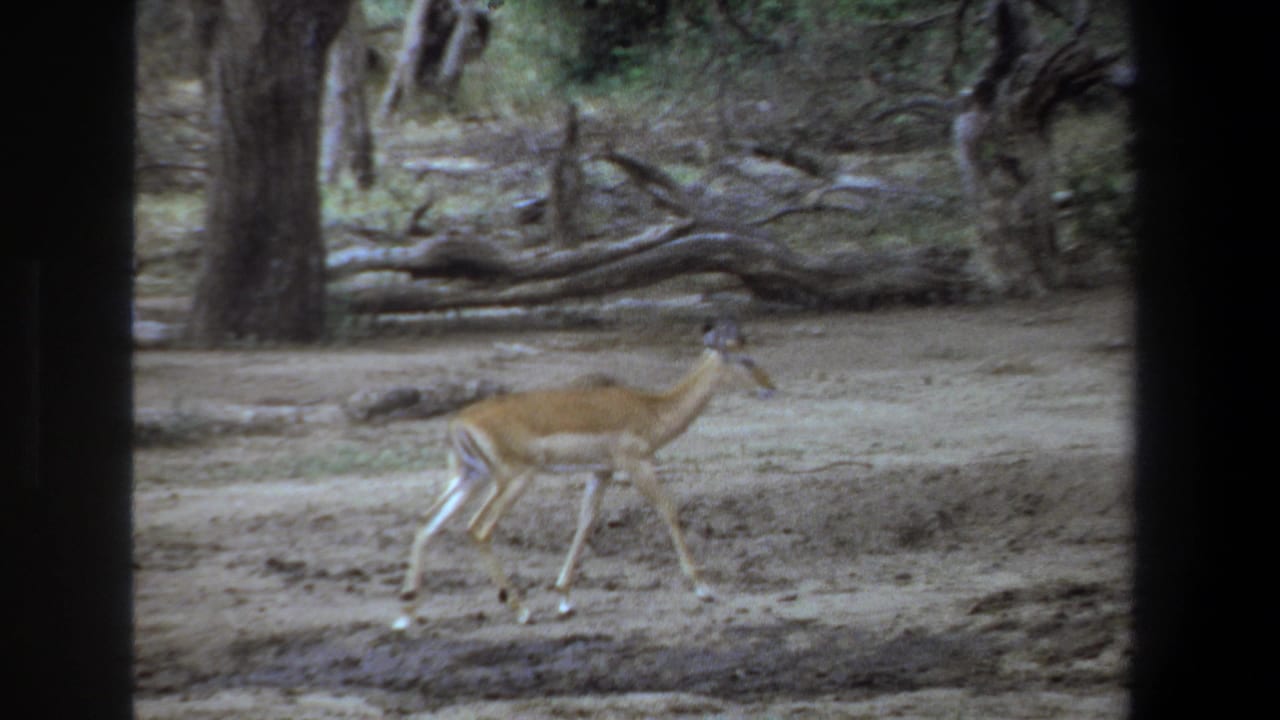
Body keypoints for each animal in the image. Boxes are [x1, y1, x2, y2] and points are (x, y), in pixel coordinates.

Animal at [392, 319, 775, 629]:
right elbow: (669, 509)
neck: (650, 410)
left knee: (428, 523)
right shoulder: (636, 464)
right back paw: (521, 610)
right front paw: (704, 588)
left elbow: (586, 522)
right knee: (478, 529)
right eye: (746, 359)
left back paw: (406, 615)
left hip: (470, 478)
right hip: (512, 479)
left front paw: (564, 598)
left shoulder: (600, 472)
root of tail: (458, 423)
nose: (770, 388)